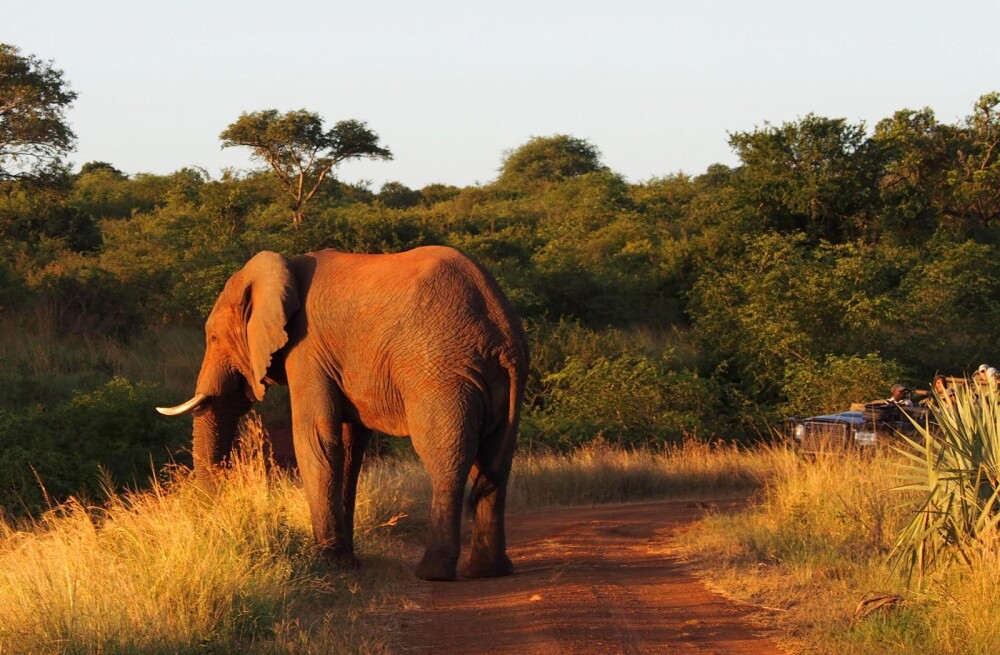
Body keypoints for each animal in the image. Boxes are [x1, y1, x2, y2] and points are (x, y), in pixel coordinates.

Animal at [156, 245, 528, 580]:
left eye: (214, 338)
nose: (212, 518)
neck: (280, 269)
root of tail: (500, 331)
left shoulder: (306, 349)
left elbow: (315, 438)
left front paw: (329, 564)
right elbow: (348, 446)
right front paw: (348, 562)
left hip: (439, 376)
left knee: (446, 460)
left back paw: (432, 574)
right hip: (503, 382)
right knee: (494, 463)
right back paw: (487, 572)